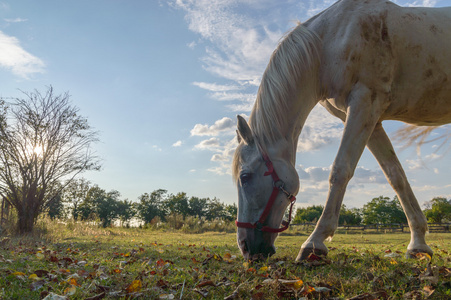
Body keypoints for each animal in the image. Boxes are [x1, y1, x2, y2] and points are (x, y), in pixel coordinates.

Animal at [233, 0, 451, 262]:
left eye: (245, 177)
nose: (245, 247)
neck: (329, 43)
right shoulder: (370, 119)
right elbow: (396, 177)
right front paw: (418, 244)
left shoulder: (364, 102)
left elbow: (340, 169)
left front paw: (314, 242)